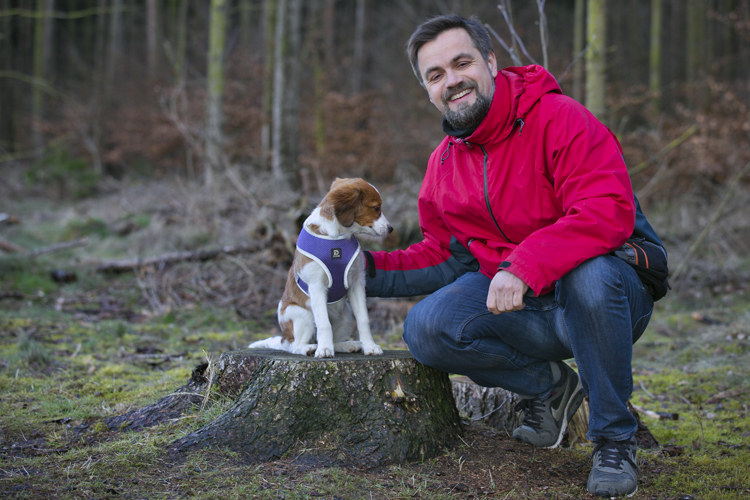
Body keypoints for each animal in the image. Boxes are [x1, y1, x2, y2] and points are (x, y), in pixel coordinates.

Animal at [251, 180, 394, 360]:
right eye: (376, 207)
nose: (390, 228)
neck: (337, 237)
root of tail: (284, 338)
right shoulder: (316, 286)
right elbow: (324, 323)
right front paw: (324, 349)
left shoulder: (356, 283)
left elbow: (363, 319)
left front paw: (370, 346)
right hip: (301, 314)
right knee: (295, 346)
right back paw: (310, 348)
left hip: (345, 313)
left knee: (333, 337)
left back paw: (347, 345)